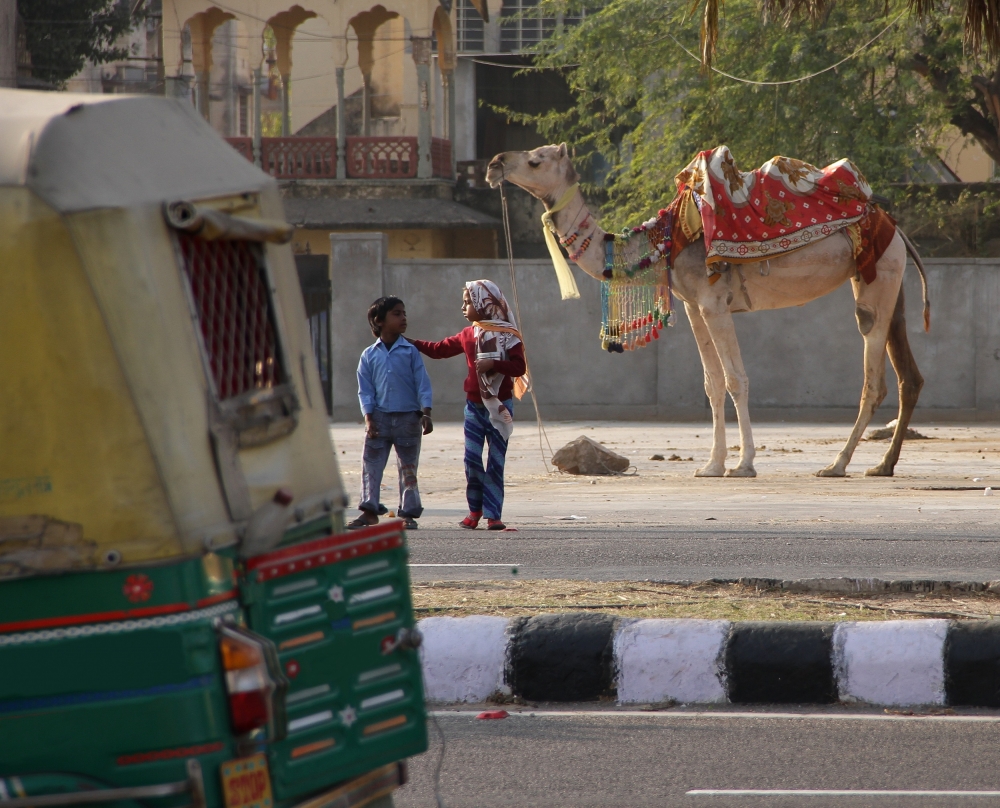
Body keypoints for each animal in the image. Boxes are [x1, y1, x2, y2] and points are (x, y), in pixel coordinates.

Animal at [488, 144, 932, 480]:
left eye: (535, 160)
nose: (494, 163)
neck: (664, 241)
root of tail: (894, 226)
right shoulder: (693, 306)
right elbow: (712, 383)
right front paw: (711, 464)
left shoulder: (714, 303)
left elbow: (736, 379)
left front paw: (743, 464)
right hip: (885, 282)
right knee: (908, 376)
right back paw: (883, 465)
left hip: (878, 283)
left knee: (873, 380)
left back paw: (837, 464)